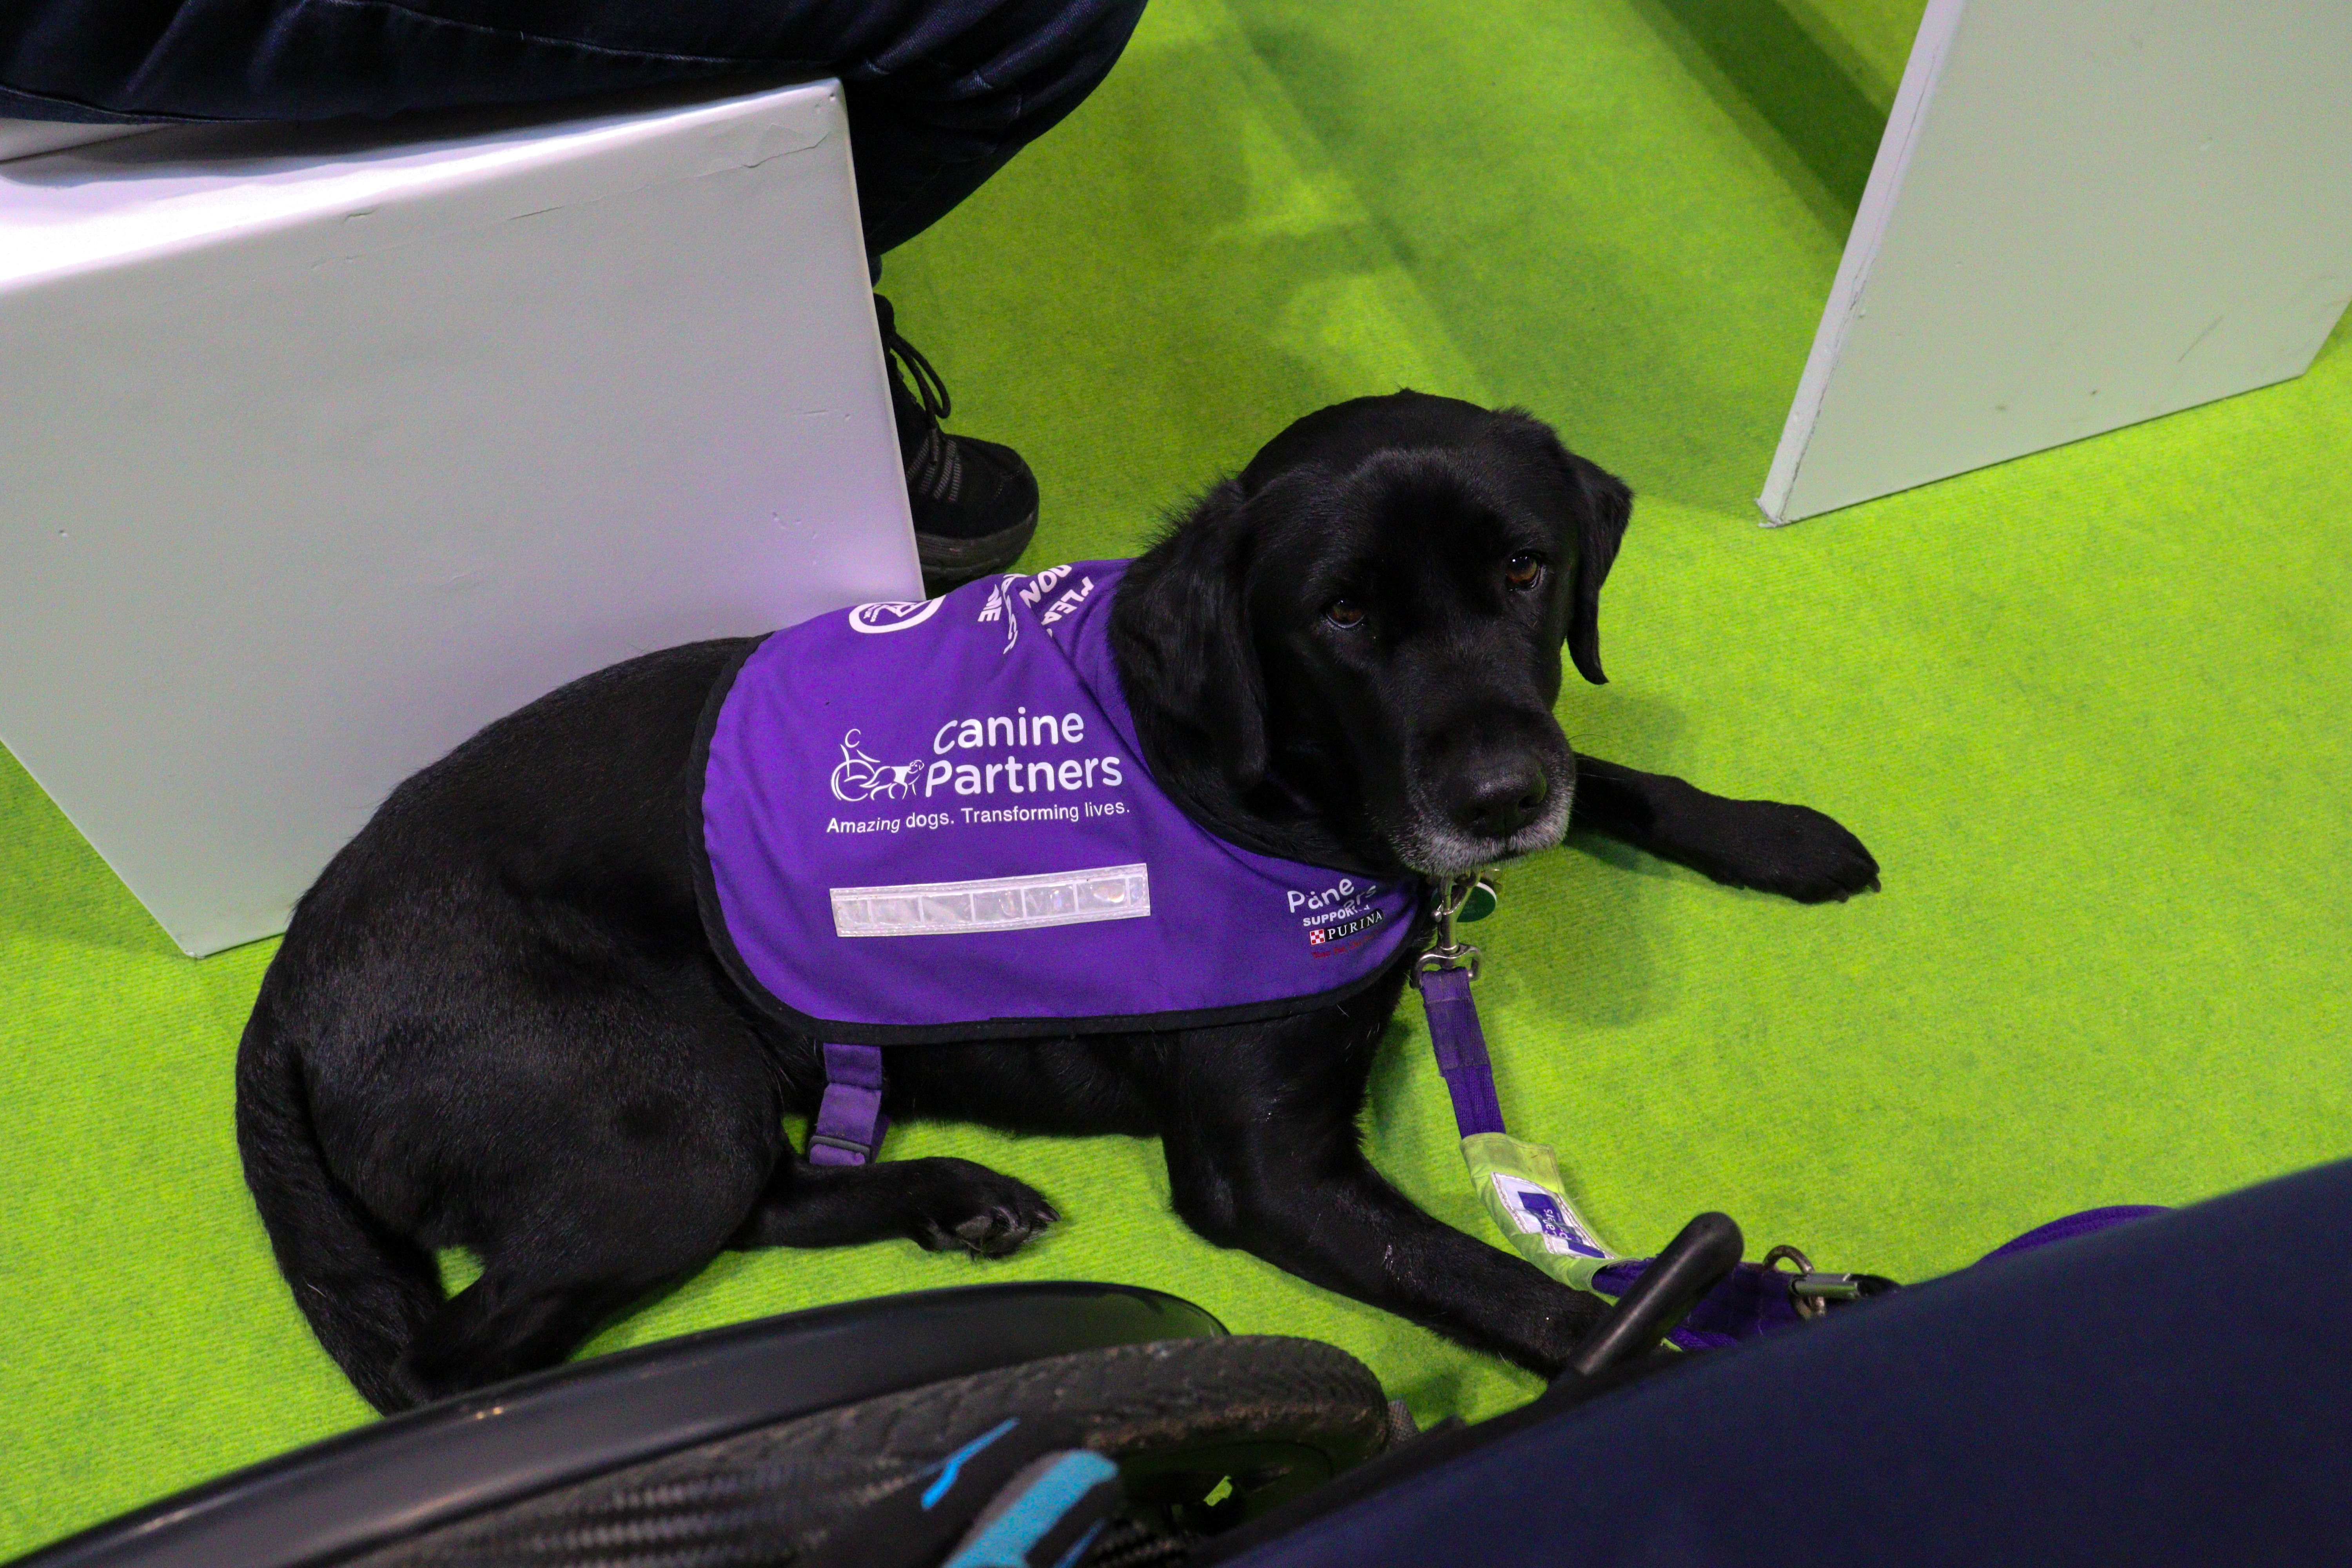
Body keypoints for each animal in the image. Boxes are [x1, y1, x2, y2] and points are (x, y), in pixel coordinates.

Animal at [239, 390, 1882, 1410]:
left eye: (1529, 570)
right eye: (1341, 614)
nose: (1492, 801)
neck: (1260, 787)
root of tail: (292, 980)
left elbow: (1613, 773)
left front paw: (1776, 836)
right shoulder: (1266, 1168)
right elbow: (1505, 1282)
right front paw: (1690, 1345)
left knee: (769, 1189)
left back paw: (951, 1199)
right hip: (654, 1103)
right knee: (457, 1363)